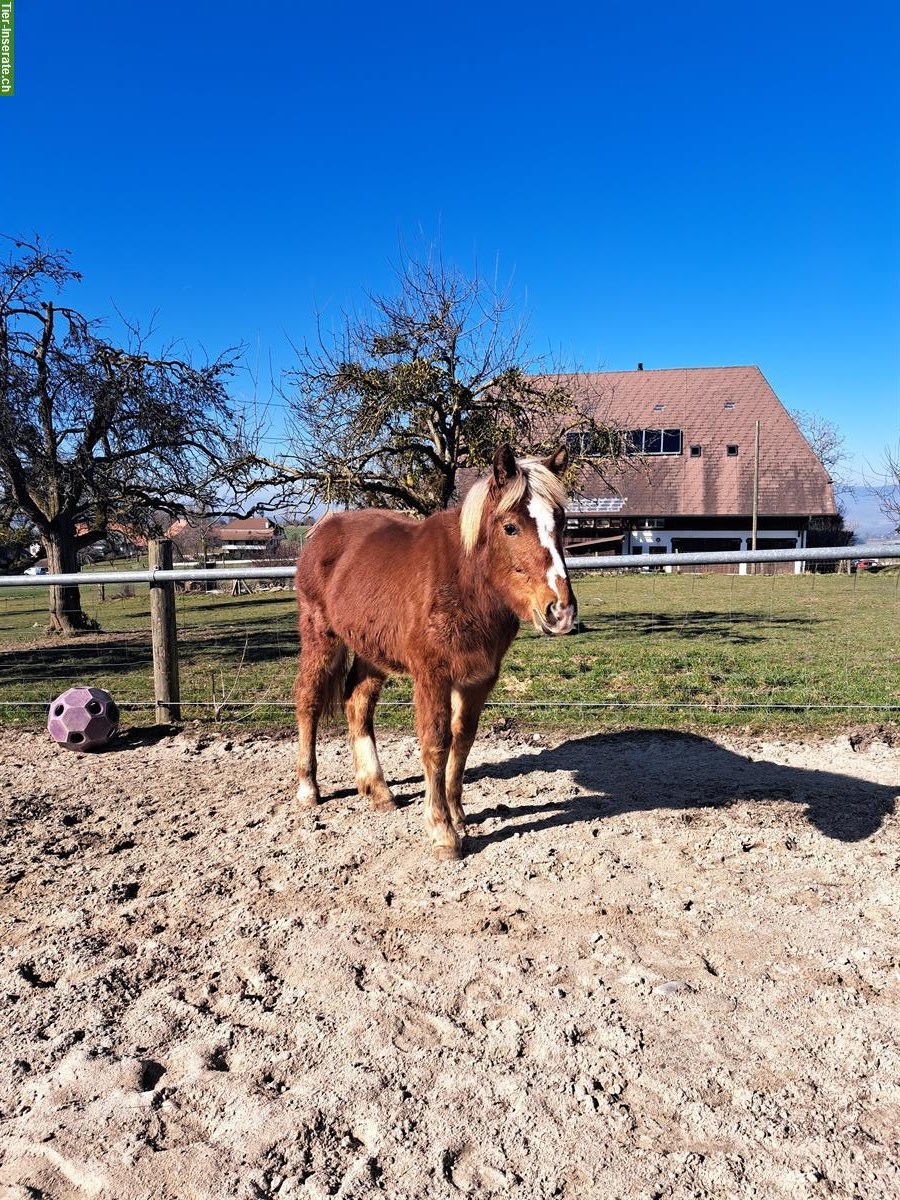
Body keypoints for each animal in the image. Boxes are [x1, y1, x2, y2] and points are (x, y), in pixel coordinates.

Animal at [296, 446, 578, 859]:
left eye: (562, 522)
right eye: (510, 527)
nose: (561, 610)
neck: (465, 580)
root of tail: (321, 530)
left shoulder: (479, 678)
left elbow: (463, 740)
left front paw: (458, 812)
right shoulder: (432, 675)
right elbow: (436, 742)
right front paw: (443, 830)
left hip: (372, 651)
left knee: (357, 704)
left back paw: (377, 790)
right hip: (321, 637)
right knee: (309, 700)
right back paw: (308, 788)